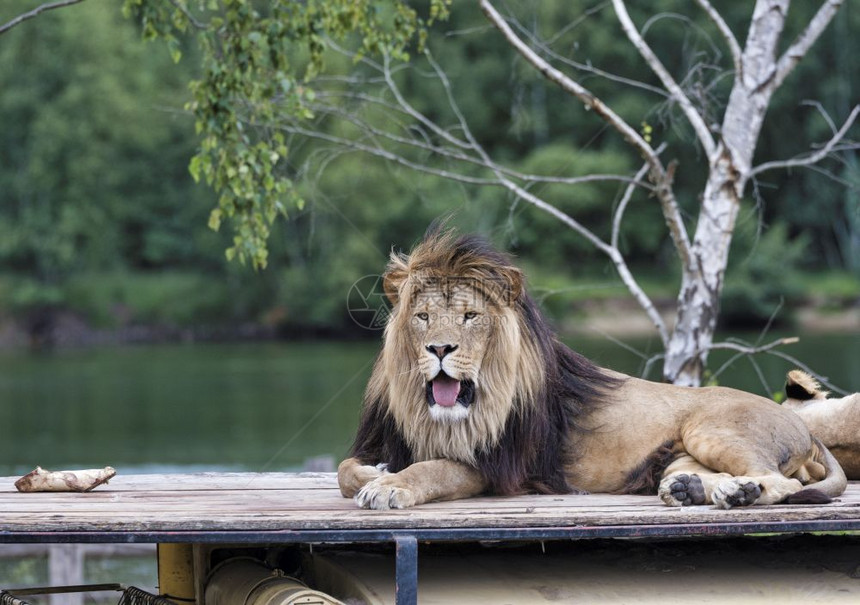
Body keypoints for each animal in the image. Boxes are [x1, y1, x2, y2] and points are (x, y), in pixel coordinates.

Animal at [338, 229, 848, 508]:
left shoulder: (503, 468)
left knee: (783, 480)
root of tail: (804, 425)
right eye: (423, 316)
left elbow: (434, 469)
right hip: (679, 456)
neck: (434, 416)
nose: (440, 348)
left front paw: (389, 486)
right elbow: (345, 469)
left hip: (712, 429)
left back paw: (740, 495)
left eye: (469, 316)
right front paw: (372, 474)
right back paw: (695, 490)